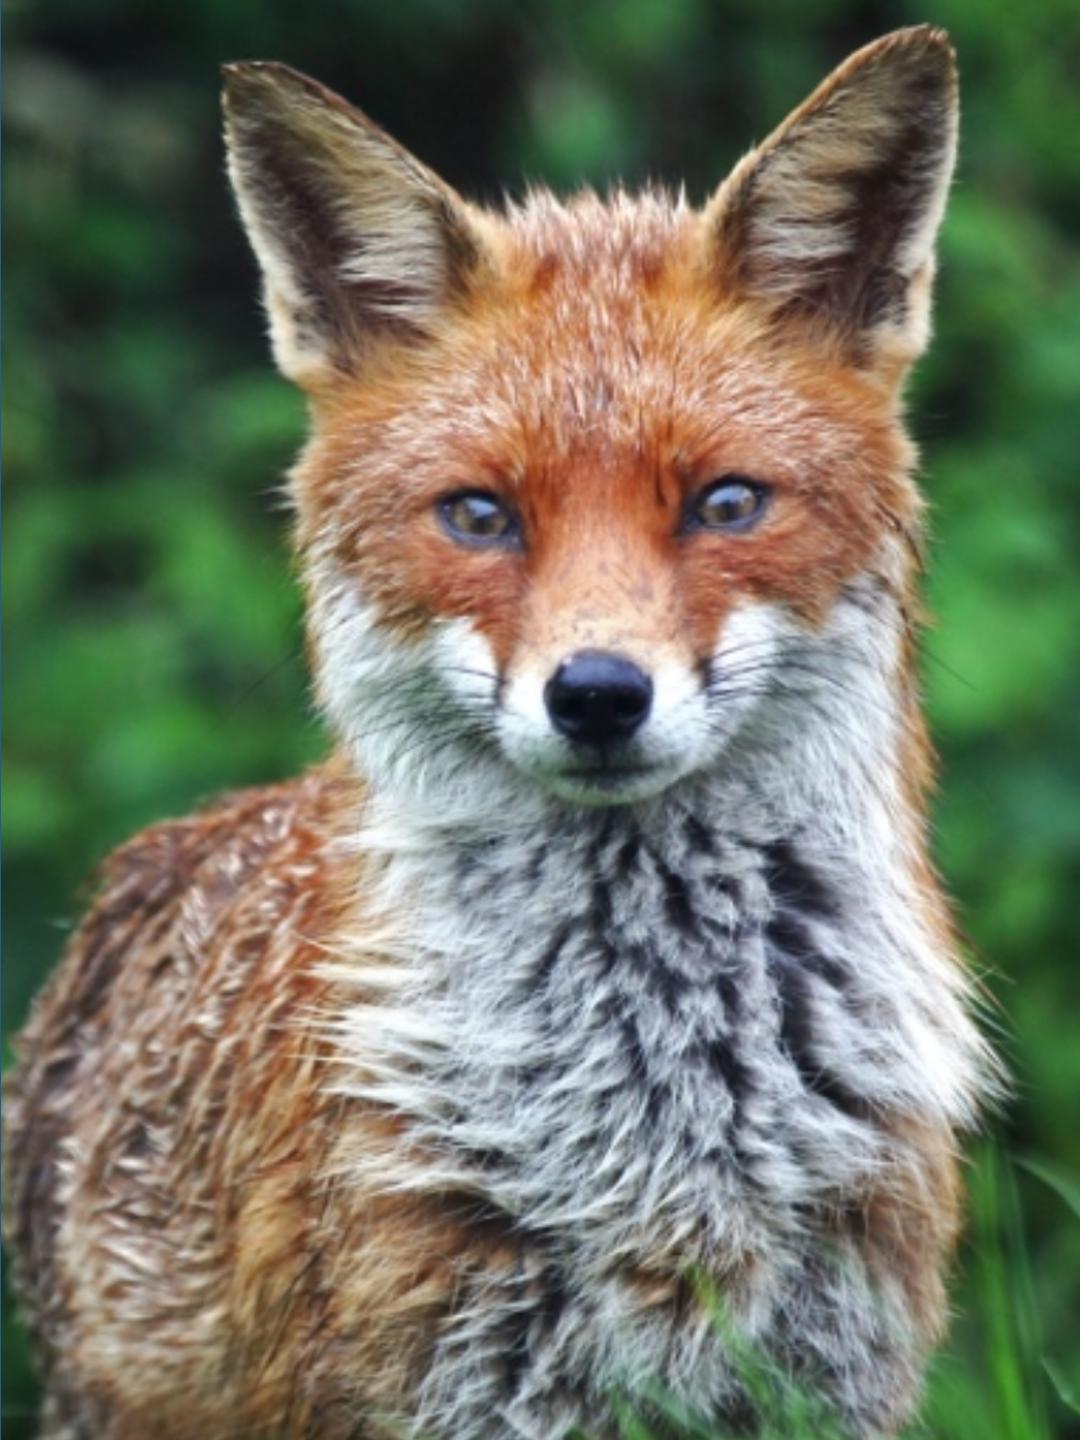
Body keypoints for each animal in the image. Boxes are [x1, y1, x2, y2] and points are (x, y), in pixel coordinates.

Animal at [3, 25, 998, 1440]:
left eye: (726, 503)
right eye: (479, 516)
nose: (597, 693)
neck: (654, 1131)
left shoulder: (828, 1375)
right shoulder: (430, 1379)